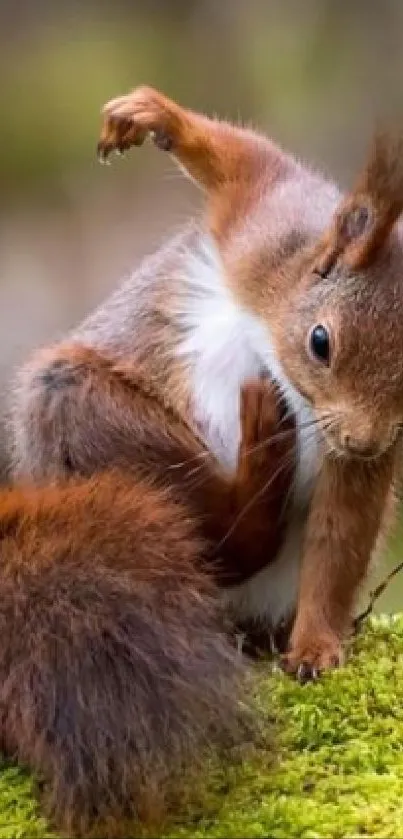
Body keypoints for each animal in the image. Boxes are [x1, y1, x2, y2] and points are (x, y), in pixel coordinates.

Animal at [6, 82, 403, 832]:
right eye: (320, 342)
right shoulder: (263, 228)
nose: (362, 439)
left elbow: (339, 539)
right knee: (220, 534)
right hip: (76, 407)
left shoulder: (363, 460)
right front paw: (151, 117)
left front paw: (315, 646)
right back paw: (259, 463)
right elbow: (242, 160)